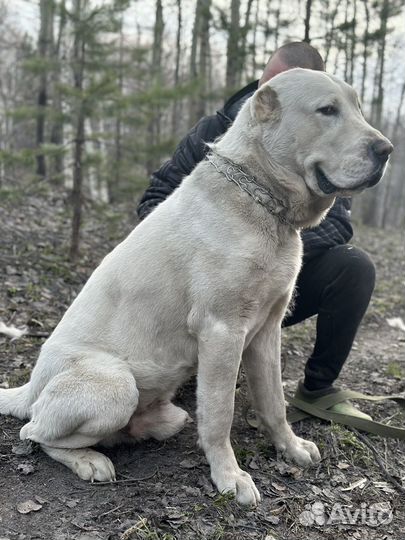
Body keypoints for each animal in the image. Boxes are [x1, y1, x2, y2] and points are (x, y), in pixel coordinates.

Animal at [0, 68, 392, 506]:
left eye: (357, 109)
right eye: (327, 110)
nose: (387, 149)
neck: (261, 201)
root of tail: (30, 385)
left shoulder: (266, 332)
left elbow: (273, 402)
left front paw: (289, 448)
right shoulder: (222, 332)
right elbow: (220, 415)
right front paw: (230, 476)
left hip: (162, 404)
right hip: (116, 384)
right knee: (34, 431)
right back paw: (89, 461)